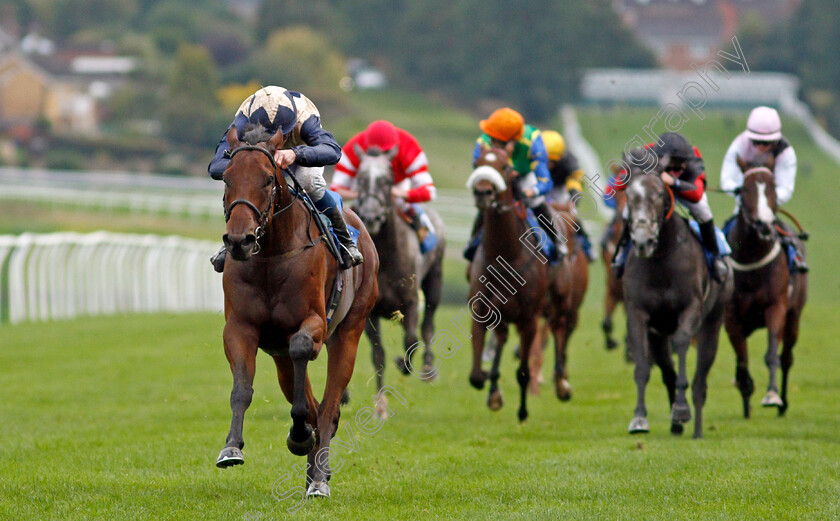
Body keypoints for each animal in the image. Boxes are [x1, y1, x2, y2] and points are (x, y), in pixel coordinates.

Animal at [215, 126, 378, 500]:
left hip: (349, 332)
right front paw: (231, 448)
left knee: (328, 409)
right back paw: (313, 469)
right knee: (314, 404)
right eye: (227, 178)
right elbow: (242, 388)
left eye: (266, 179)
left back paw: (318, 479)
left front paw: (300, 436)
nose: (239, 241)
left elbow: (303, 350)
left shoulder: (313, 323)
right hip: (280, 359)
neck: (270, 256)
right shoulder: (240, 327)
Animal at [352, 143, 446, 414]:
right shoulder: (370, 312)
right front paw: (380, 405)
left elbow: (411, 339)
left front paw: (403, 364)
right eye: (360, 179)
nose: (371, 216)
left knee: (427, 325)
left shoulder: (410, 302)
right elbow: (378, 355)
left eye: (386, 181)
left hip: (435, 280)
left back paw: (428, 368)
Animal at [720, 156, 808, 416]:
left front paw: (772, 395)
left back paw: (783, 403)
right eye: (744, 189)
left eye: (772, 188)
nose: (764, 225)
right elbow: (742, 359)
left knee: (786, 357)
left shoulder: (775, 307)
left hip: (794, 317)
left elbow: (771, 355)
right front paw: (746, 395)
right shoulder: (731, 316)